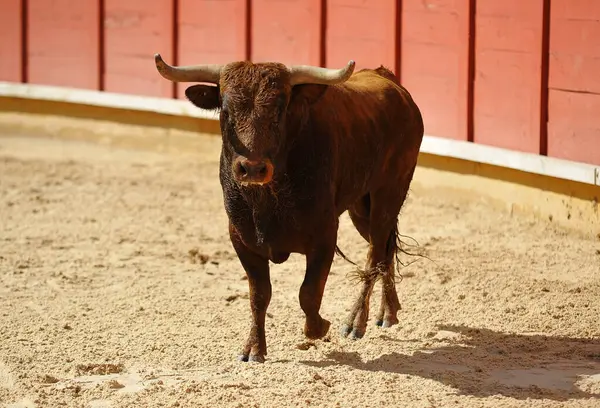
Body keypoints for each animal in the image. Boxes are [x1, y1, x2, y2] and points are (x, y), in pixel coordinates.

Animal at [155, 52, 426, 362]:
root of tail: (390, 81)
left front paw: (319, 327)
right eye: (225, 110)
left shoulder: (324, 236)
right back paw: (388, 313)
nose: (252, 168)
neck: (267, 201)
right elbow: (259, 295)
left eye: (279, 110)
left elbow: (308, 293)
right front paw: (254, 349)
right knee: (385, 250)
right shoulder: (241, 239)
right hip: (361, 207)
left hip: (388, 193)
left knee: (376, 253)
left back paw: (356, 322)